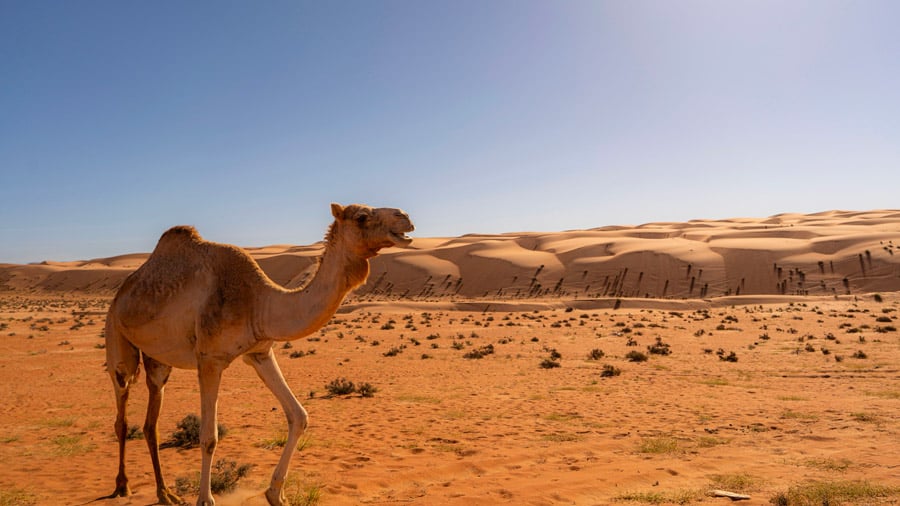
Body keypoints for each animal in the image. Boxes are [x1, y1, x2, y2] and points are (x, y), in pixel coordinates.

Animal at [104, 203, 414, 506]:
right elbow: (209, 437)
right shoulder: (209, 359)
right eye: (361, 217)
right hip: (117, 335)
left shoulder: (260, 352)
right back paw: (123, 486)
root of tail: (123, 290)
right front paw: (205, 499)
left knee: (150, 422)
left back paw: (165, 493)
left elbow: (298, 416)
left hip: (158, 361)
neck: (259, 303)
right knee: (122, 412)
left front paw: (275, 493)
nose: (405, 217)